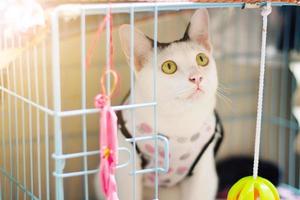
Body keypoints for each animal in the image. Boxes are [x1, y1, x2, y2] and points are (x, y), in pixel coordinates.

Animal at [95, 8, 223, 200]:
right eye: (169, 67)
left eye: (202, 59)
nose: (197, 77)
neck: (180, 121)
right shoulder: (126, 172)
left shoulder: (204, 175)